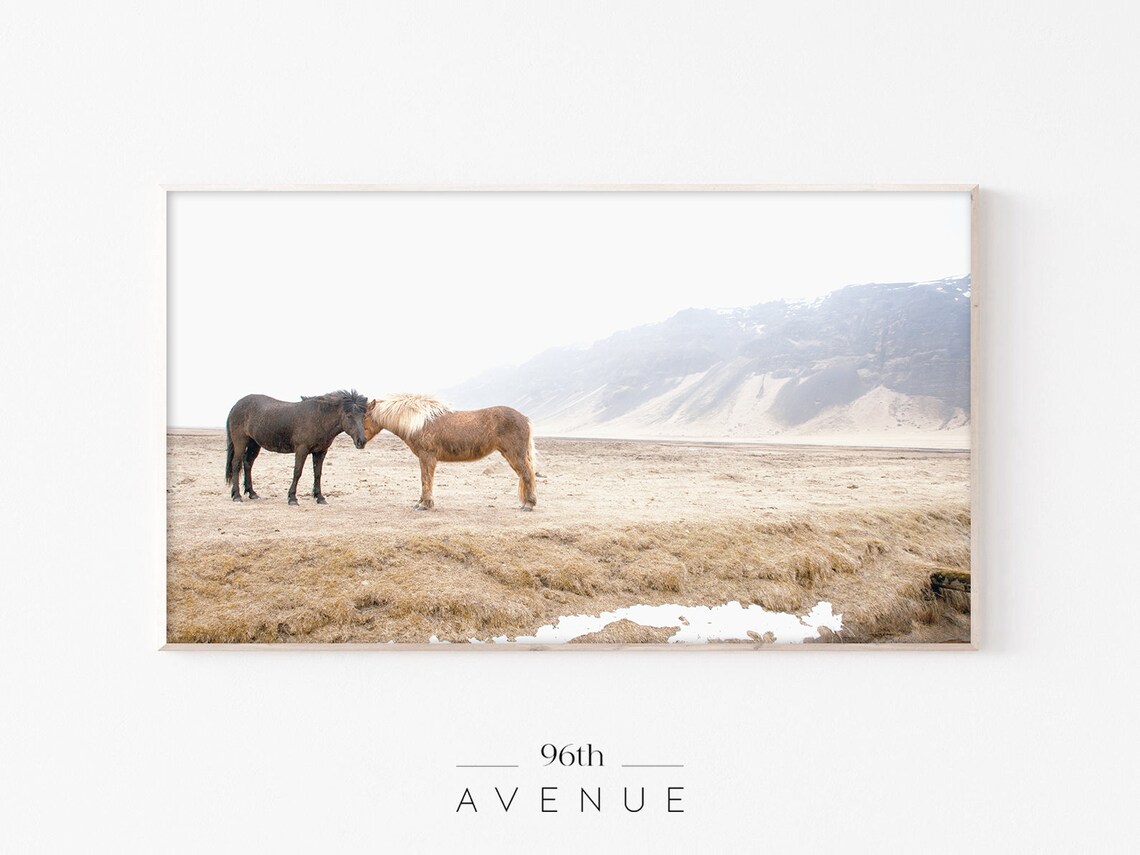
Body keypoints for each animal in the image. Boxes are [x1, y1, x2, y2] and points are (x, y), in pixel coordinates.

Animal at [225, 389, 369, 504]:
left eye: (363, 416)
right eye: (349, 416)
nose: (361, 441)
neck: (319, 418)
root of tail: (236, 405)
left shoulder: (320, 452)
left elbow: (318, 474)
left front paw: (320, 497)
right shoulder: (301, 449)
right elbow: (297, 472)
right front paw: (292, 498)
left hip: (254, 444)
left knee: (248, 463)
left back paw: (252, 493)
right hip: (240, 442)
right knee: (236, 464)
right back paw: (237, 496)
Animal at [364, 393, 537, 511]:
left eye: (364, 416)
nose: (360, 442)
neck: (419, 422)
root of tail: (525, 418)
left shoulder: (427, 457)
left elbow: (426, 479)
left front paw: (425, 504)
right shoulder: (425, 458)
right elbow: (424, 479)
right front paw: (420, 503)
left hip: (515, 455)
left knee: (526, 474)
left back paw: (528, 505)